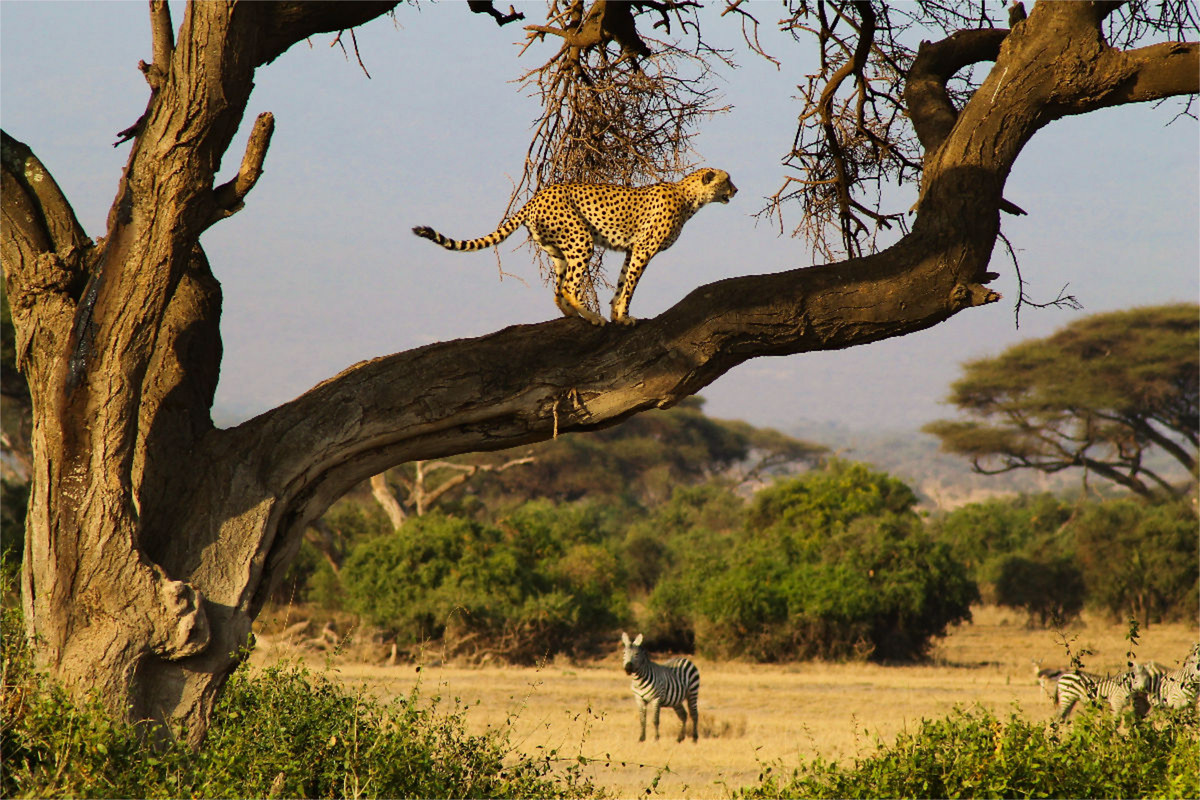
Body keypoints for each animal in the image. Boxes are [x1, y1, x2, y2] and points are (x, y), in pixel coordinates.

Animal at [412, 167, 734, 323]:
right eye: (727, 180)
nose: (736, 189)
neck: (689, 197)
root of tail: (536, 196)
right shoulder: (643, 250)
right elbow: (630, 286)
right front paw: (622, 317)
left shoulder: (633, 250)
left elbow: (622, 283)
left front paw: (617, 315)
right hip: (582, 241)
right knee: (568, 285)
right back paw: (591, 316)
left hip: (558, 250)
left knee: (557, 290)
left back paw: (573, 314)